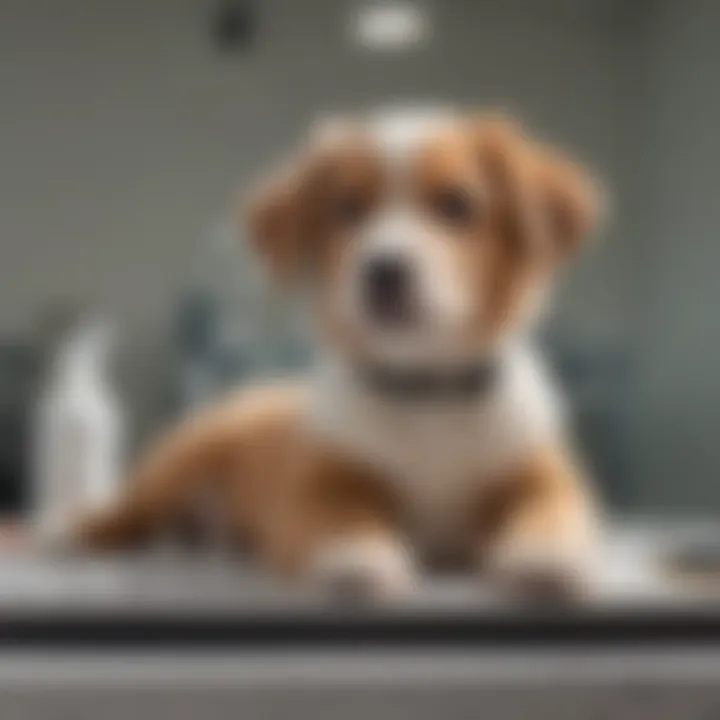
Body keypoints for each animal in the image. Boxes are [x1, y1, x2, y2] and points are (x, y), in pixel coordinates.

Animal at [74, 109, 600, 600]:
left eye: (456, 204)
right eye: (347, 207)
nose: (384, 271)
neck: (425, 394)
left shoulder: (545, 472)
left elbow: (552, 511)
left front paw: (547, 558)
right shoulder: (317, 483)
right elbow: (341, 516)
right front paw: (356, 558)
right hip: (184, 454)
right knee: (131, 510)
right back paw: (81, 532)